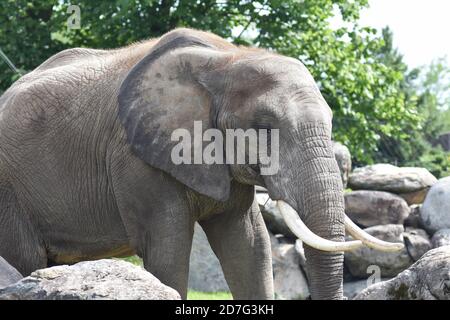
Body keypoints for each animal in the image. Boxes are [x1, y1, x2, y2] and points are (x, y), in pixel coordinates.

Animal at [0, 28, 402, 300]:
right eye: (263, 128)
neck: (227, 59)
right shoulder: (135, 159)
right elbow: (167, 249)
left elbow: (250, 245)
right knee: (28, 259)